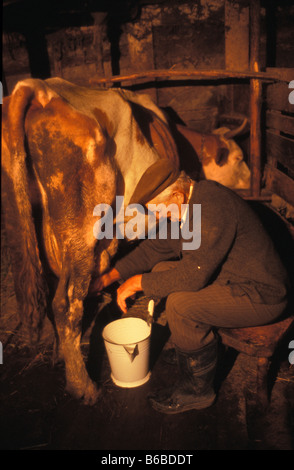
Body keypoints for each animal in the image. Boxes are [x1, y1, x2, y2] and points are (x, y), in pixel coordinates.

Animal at [1, 77, 179, 404]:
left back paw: (59, 355)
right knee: (65, 302)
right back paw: (83, 386)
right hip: (82, 230)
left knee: (50, 292)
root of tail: (39, 89)